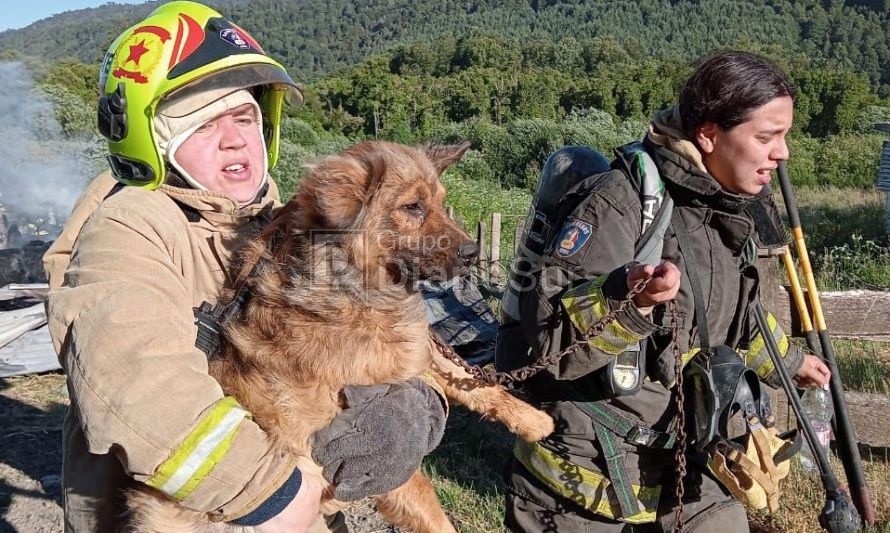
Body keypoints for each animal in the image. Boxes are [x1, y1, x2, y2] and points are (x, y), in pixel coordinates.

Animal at [128, 139, 552, 528]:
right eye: (412, 207)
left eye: (439, 203)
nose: (471, 253)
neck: (355, 288)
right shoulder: (367, 444)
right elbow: (423, 497)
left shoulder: (409, 357)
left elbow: (473, 381)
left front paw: (533, 421)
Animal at [496, 51, 828, 532]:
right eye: (769, 135)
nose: (779, 156)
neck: (702, 199)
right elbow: (554, 327)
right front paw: (643, 292)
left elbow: (755, 331)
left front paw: (803, 365)